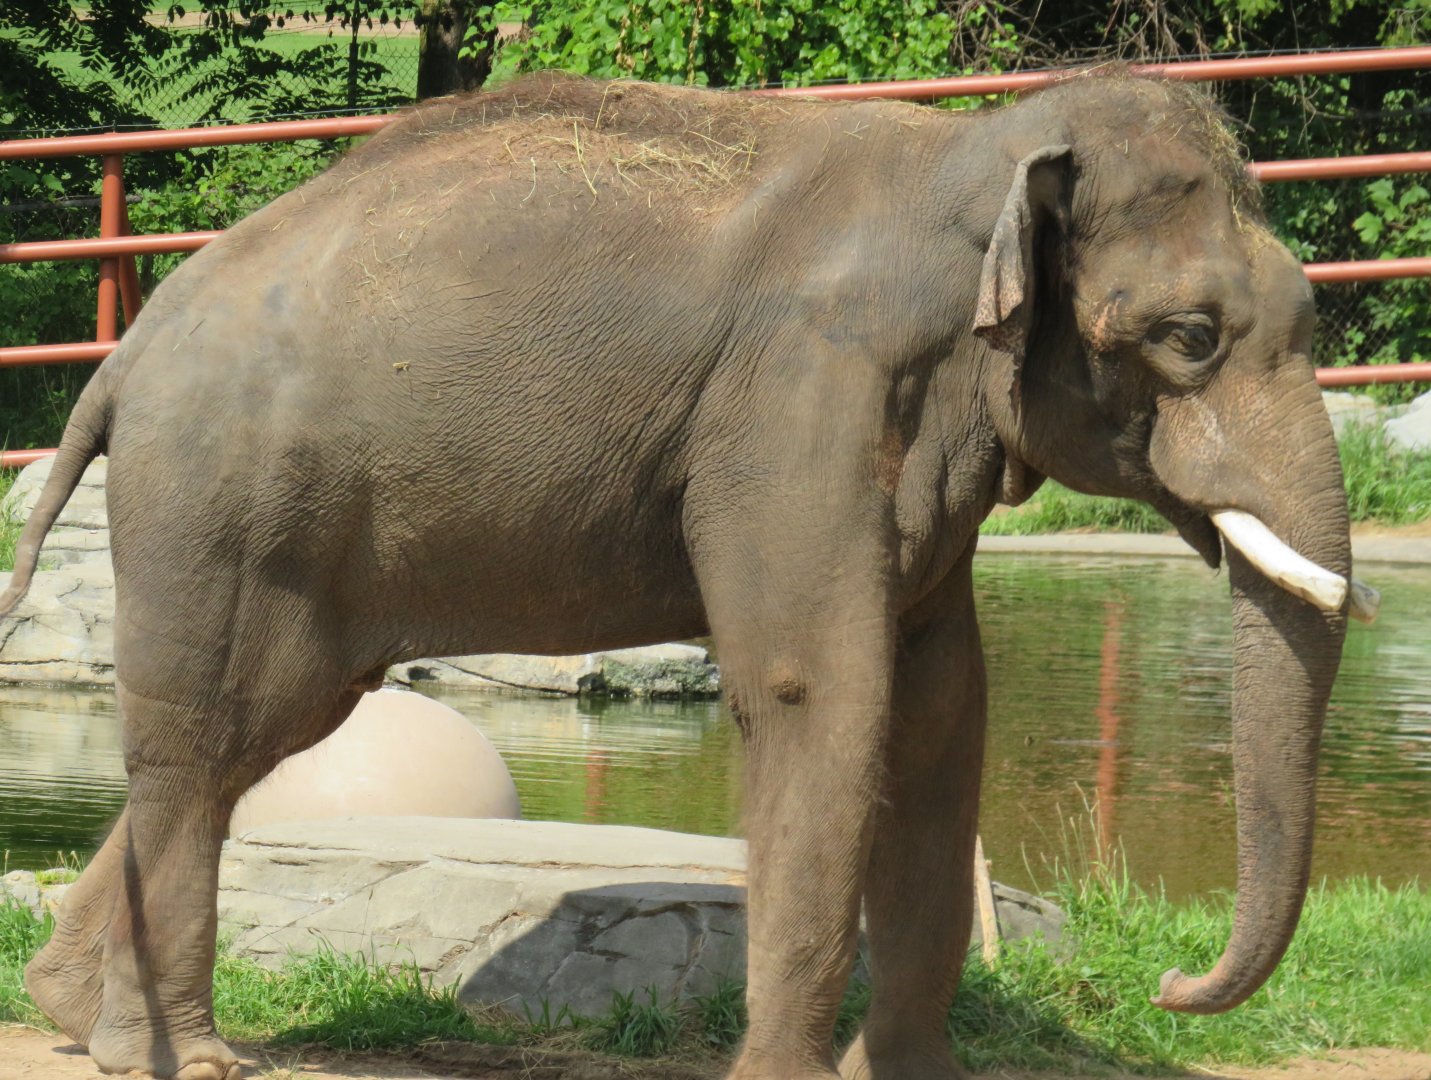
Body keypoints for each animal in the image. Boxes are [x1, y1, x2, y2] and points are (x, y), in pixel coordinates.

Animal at [1, 71, 1378, 1080]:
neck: (972, 152)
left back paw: (77, 1013)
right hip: (217, 507)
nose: (1174, 984)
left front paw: (910, 1077)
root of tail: (121, 361)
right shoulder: (795, 407)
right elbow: (823, 697)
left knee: (260, 730)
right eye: (1189, 338)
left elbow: (943, 709)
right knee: (200, 746)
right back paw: (178, 1056)